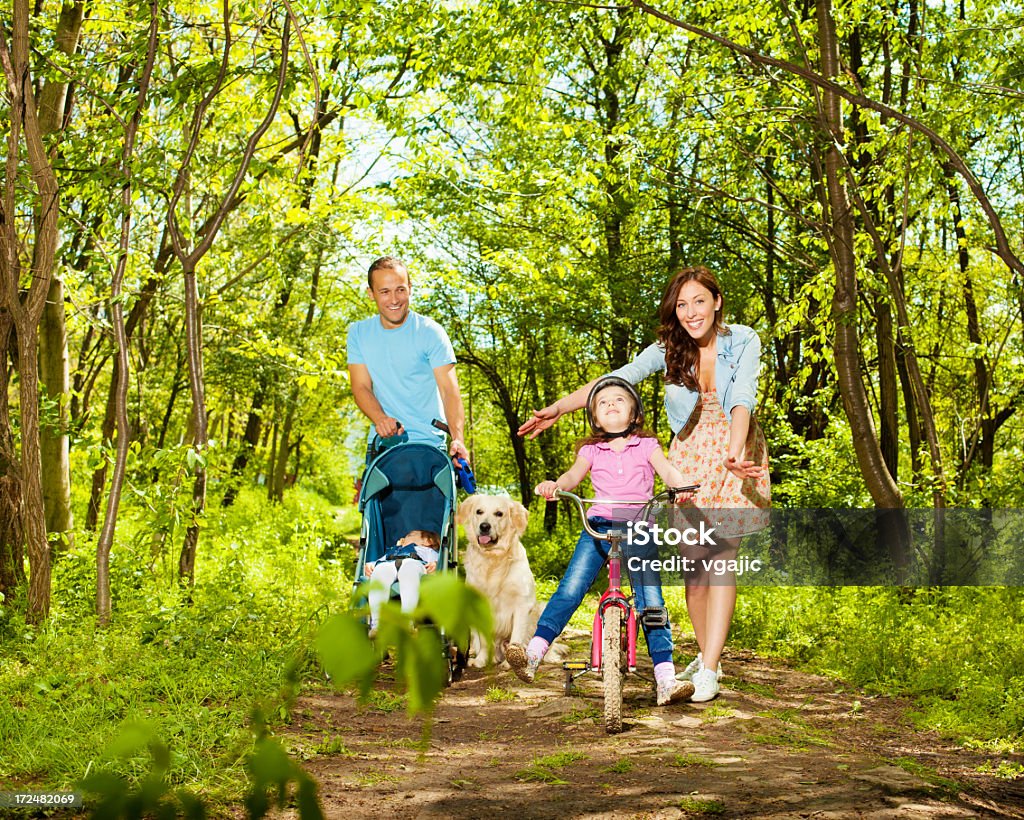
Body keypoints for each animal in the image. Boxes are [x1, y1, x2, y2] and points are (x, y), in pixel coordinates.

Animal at [458, 493, 540, 663]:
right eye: (479, 511)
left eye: (499, 513)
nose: (484, 526)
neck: (494, 558)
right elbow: (484, 641)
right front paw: (481, 660)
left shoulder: (523, 603)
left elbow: (516, 637)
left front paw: (512, 662)